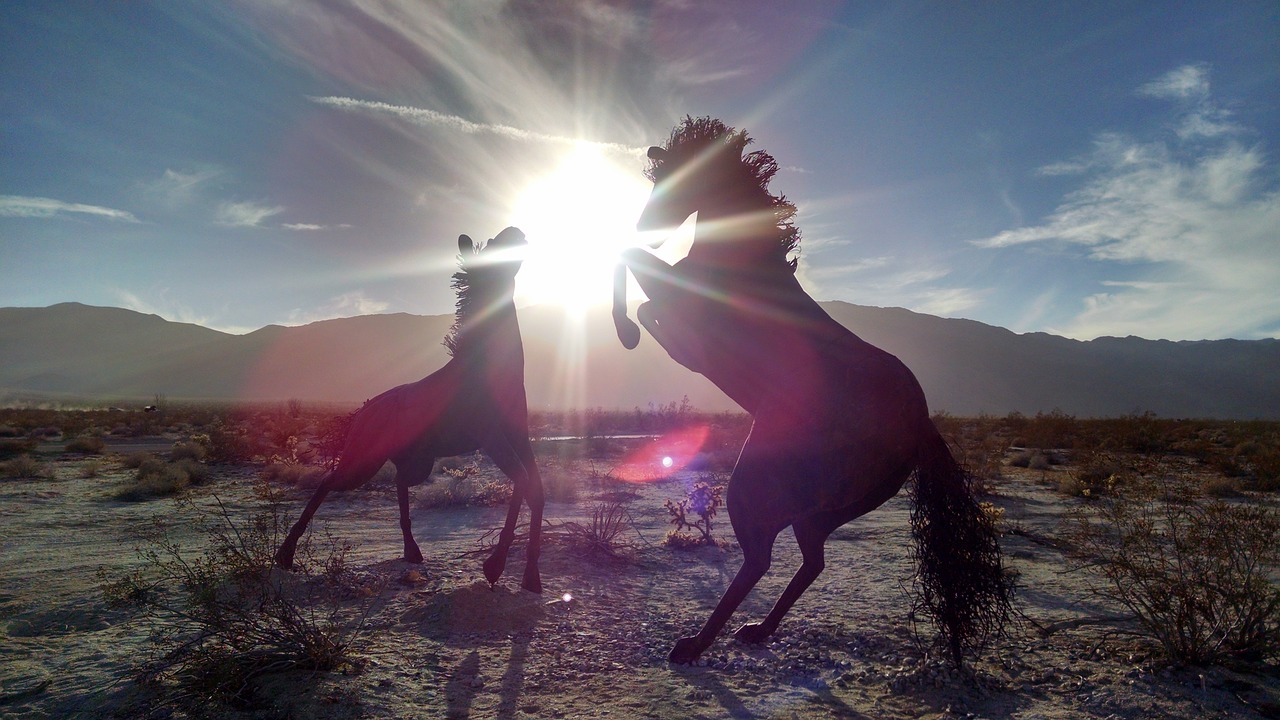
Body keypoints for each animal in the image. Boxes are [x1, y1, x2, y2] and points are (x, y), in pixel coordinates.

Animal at [276, 227, 545, 594]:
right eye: (491, 247)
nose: (515, 231)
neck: (490, 369)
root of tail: (364, 411)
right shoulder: (491, 437)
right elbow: (521, 482)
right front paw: (494, 566)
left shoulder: (519, 435)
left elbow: (536, 491)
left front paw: (532, 577)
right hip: (363, 461)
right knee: (328, 482)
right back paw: (285, 555)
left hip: (417, 462)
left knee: (399, 483)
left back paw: (412, 551)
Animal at [612, 117, 1012, 665]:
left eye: (676, 176)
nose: (648, 229)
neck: (743, 261)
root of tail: (920, 429)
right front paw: (633, 327)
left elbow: (631, 276)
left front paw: (627, 330)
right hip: (818, 513)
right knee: (810, 561)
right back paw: (756, 630)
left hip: (756, 487)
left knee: (761, 559)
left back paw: (696, 644)